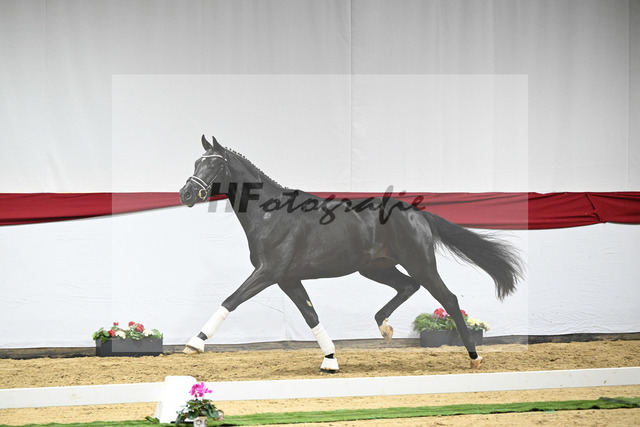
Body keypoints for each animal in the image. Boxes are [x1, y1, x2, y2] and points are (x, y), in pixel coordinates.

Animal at [179, 135, 523, 370]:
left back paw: (474, 358)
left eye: (215, 163)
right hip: (376, 268)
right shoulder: (288, 278)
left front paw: (194, 344)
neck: (270, 214)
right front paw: (330, 360)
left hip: (420, 263)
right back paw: (384, 328)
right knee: (407, 287)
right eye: (196, 162)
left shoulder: (268, 272)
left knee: (448, 299)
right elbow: (311, 315)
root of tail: (416, 212)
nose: (186, 193)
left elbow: (231, 299)